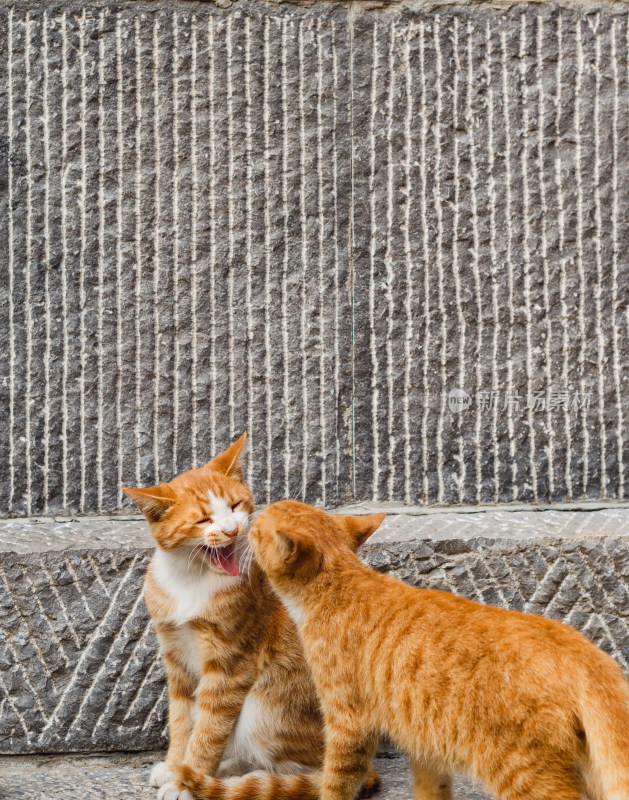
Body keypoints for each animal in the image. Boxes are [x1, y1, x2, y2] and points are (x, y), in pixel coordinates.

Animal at [122, 438, 378, 800]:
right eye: (203, 520)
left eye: (235, 505)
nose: (232, 530)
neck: (191, 580)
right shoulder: (177, 660)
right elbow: (182, 722)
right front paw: (175, 767)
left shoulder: (230, 667)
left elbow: (208, 732)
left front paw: (186, 782)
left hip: (263, 711)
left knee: (304, 770)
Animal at [248, 500, 628, 800]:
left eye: (257, 527)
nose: (249, 518)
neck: (342, 584)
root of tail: (580, 650)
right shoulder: (425, 742)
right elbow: (431, 789)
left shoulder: (348, 722)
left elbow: (336, 782)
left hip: (525, 772)